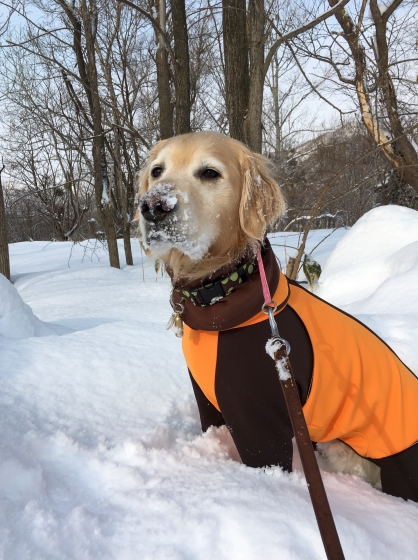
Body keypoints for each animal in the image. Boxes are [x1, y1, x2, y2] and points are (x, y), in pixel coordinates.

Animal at [137, 131, 418, 502]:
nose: (153, 206)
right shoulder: (207, 399)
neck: (226, 293)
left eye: (210, 173)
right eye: (157, 171)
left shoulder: (256, 418)